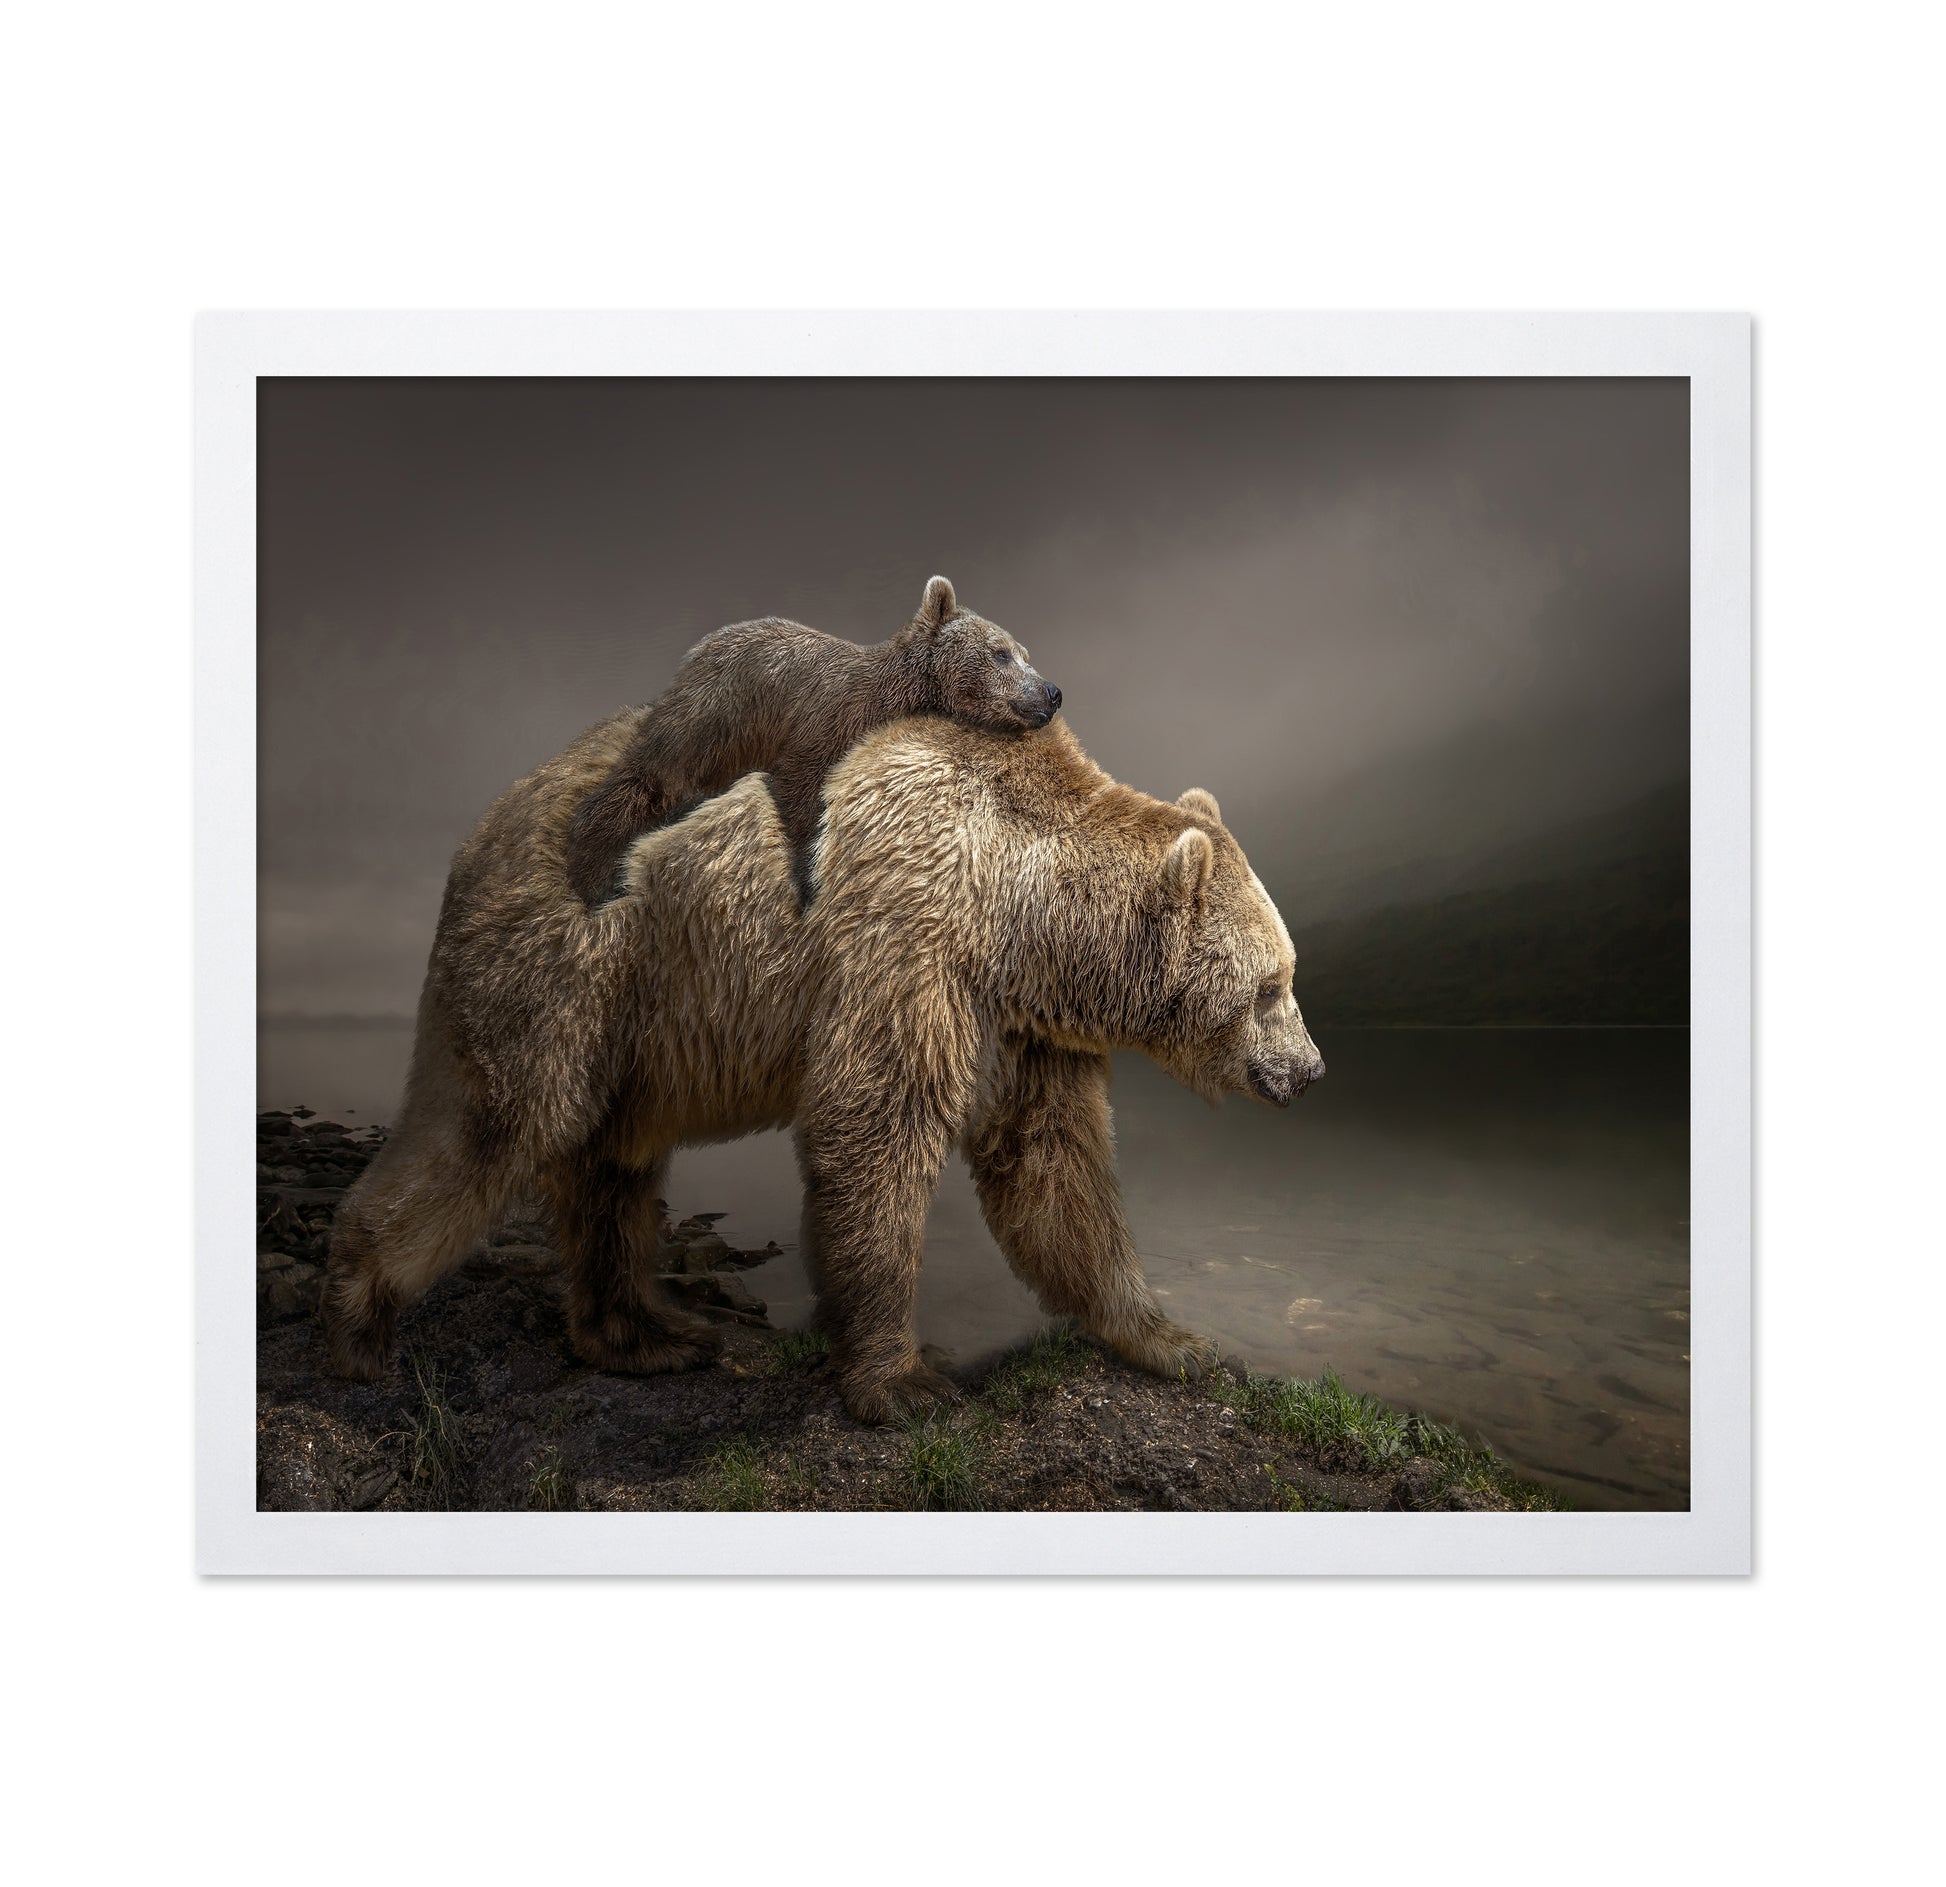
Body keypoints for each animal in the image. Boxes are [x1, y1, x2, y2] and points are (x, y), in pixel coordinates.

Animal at [322, 711, 1324, 1425]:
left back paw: (645, 1332)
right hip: (570, 963)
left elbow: (1055, 1167)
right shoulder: (907, 938)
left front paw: (1175, 1339)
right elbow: (875, 1132)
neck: (1020, 913)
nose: (1311, 1069)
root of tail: (481, 827)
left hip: (636, 1020)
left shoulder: (1025, 1025)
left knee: (612, 1163)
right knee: (493, 1125)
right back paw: (359, 1313)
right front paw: (905, 1380)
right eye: (1270, 986)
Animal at [563, 575, 1061, 905]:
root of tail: (697, 650)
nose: (1051, 692)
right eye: (1001, 653)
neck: (894, 698)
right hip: (712, 717)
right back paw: (594, 874)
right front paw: (808, 886)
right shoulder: (818, 726)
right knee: (651, 777)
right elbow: (800, 795)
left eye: (1025, 653)